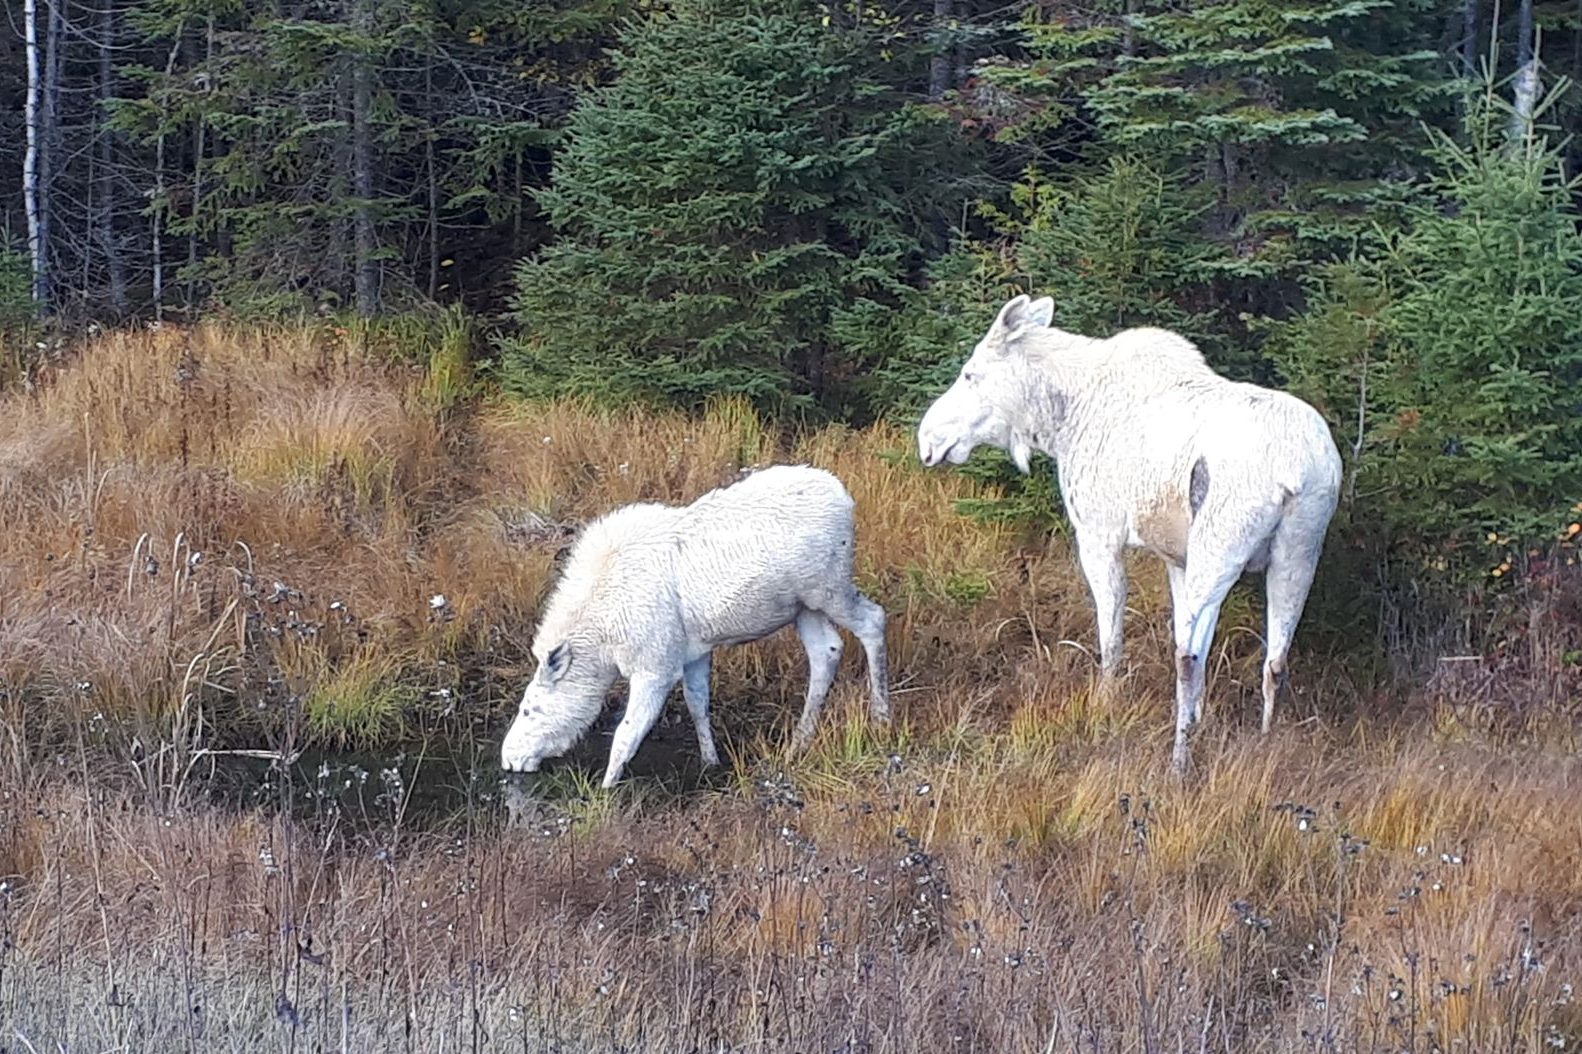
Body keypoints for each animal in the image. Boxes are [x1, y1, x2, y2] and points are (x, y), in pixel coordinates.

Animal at [496, 465, 892, 784]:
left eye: (529, 709)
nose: (508, 758)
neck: (601, 647)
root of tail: (846, 498)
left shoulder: (655, 668)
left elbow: (626, 736)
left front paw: (606, 791)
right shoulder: (693, 651)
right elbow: (697, 702)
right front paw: (710, 759)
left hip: (830, 589)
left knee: (873, 621)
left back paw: (881, 716)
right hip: (804, 607)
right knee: (827, 651)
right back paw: (799, 741)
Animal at [911, 291, 1341, 769]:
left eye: (970, 373)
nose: (927, 439)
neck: (1060, 420)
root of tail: (1298, 472)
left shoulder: (1099, 534)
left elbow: (1111, 637)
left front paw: (1104, 704)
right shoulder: (1176, 558)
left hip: (1219, 546)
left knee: (1188, 658)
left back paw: (1178, 760)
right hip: (1299, 550)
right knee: (1274, 659)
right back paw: (1261, 740)